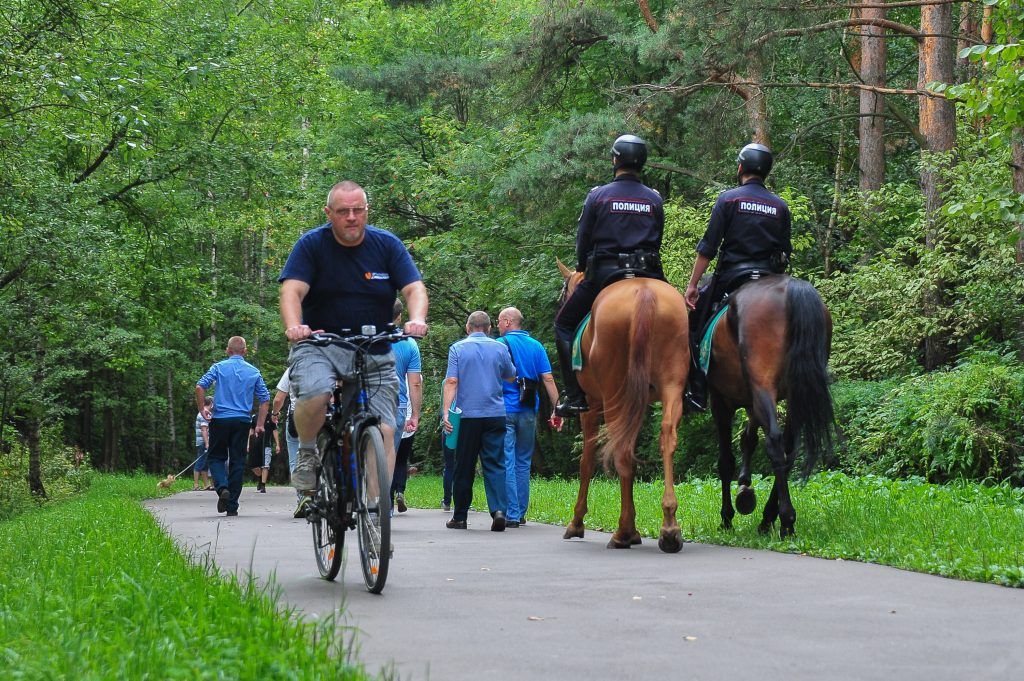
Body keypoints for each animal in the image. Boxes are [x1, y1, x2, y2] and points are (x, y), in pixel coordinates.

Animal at [557, 260, 692, 552]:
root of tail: (643, 293)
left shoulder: (591, 407)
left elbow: (586, 461)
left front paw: (576, 522)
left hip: (612, 395)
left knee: (621, 454)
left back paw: (622, 533)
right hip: (670, 386)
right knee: (666, 437)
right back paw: (669, 527)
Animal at [708, 274, 835, 540]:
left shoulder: (720, 401)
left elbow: (725, 461)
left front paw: (727, 517)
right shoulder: (751, 401)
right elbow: (748, 438)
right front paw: (745, 488)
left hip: (763, 383)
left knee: (775, 443)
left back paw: (785, 519)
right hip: (796, 391)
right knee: (789, 448)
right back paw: (769, 518)